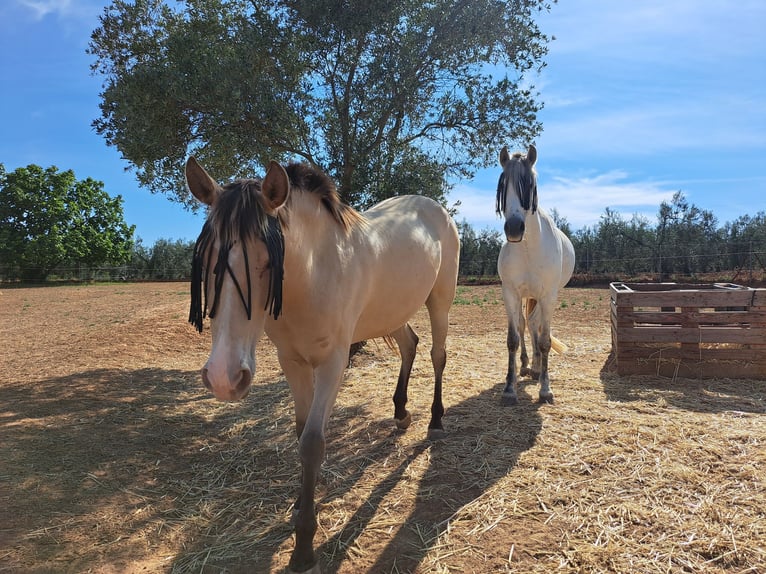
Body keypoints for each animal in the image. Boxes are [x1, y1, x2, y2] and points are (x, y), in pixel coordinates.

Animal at [186, 159, 462, 574]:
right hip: (391, 311)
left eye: (268, 261)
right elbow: (301, 433)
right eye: (206, 260)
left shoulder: (334, 362)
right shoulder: (293, 362)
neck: (316, 273)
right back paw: (400, 413)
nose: (223, 377)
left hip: (440, 301)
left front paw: (303, 546)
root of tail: (433, 207)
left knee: (437, 354)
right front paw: (301, 503)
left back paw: (436, 420)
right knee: (409, 345)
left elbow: (313, 442)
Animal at [498, 145, 576, 404]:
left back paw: (536, 367)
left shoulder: (548, 296)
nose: (514, 229)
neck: (529, 247)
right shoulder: (511, 293)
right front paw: (509, 389)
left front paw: (545, 389)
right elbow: (513, 338)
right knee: (526, 324)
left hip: (541, 298)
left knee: (535, 325)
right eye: (503, 187)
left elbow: (544, 340)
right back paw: (526, 366)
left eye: (530, 185)